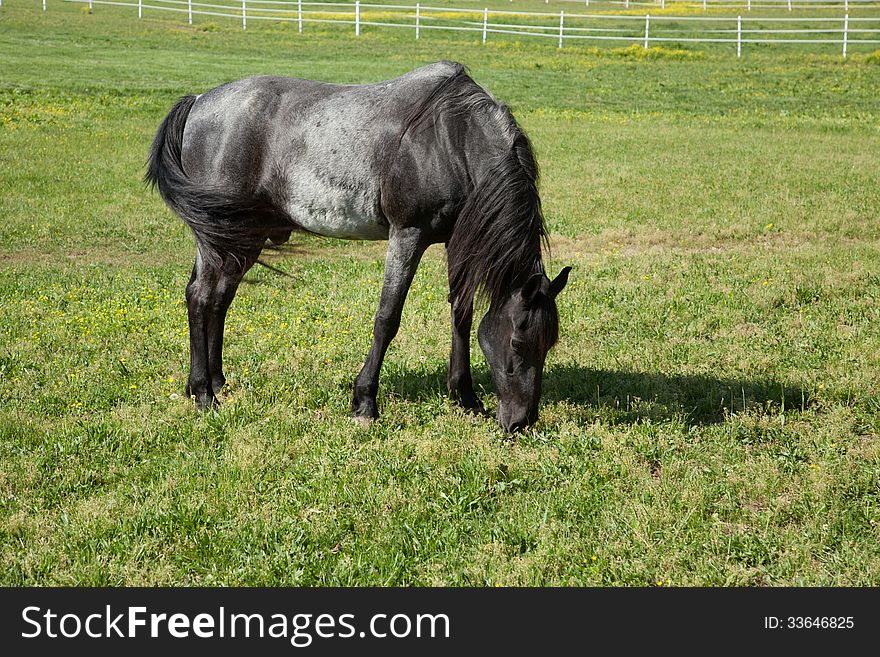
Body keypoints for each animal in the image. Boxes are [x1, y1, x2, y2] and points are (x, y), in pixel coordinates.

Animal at [144, 60, 572, 430]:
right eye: (517, 342)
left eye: (548, 344)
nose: (520, 422)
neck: (452, 137)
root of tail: (199, 101)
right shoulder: (407, 234)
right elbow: (387, 318)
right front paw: (365, 401)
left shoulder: (455, 241)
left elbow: (461, 315)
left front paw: (465, 397)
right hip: (222, 237)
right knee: (202, 297)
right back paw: (204, 394)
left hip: (238, 238)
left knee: (217, 298)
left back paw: (216, 383)